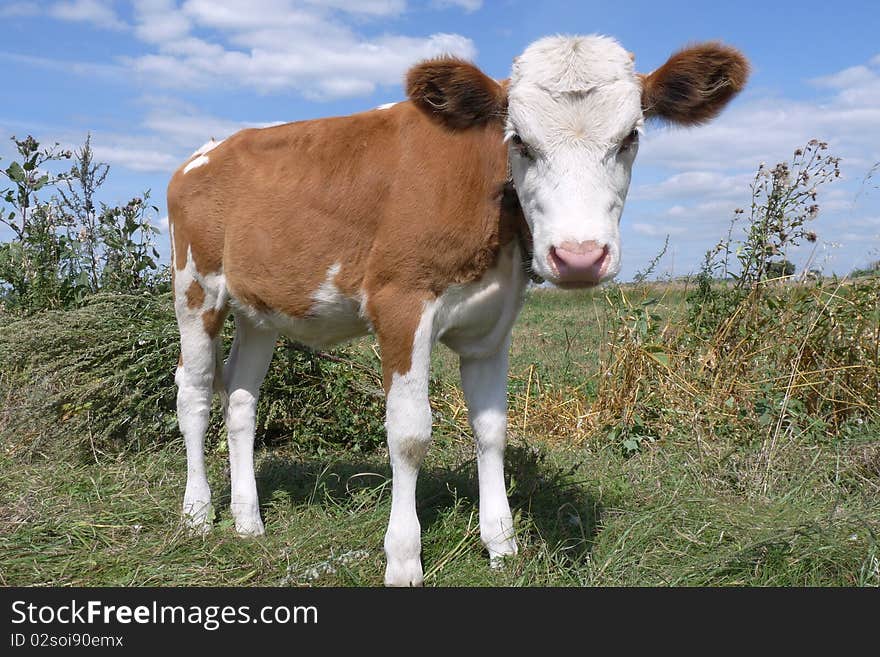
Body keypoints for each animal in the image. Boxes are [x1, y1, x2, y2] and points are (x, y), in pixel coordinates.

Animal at [168, 34, 744, 584]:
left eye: (630, 137)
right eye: (520, 141)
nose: (579, 257)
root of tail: (209, 150)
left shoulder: (493, 325)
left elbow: (492, 430)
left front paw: (502, 545)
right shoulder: (400, 304)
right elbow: (409, 435)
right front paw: (403, 560)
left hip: (259, 309)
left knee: (241, 399)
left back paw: (248, 521)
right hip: (195, 288)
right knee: (194, 393)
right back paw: (197, 514)